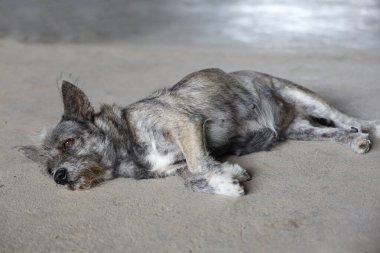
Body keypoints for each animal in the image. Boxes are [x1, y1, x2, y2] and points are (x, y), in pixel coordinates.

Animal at [18, 68, 380, 197]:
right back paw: (357, 140)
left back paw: (370, 125)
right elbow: (192, 176)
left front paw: (226, 179)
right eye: (48, 169)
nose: (59, 177)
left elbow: (199, 165)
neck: (126, 149)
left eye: (69, 142)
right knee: (337, 132)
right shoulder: (175, 165)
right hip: (302, 131)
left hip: (298, 93)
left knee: (342, 116)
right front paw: (227, 178)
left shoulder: (186, 124)